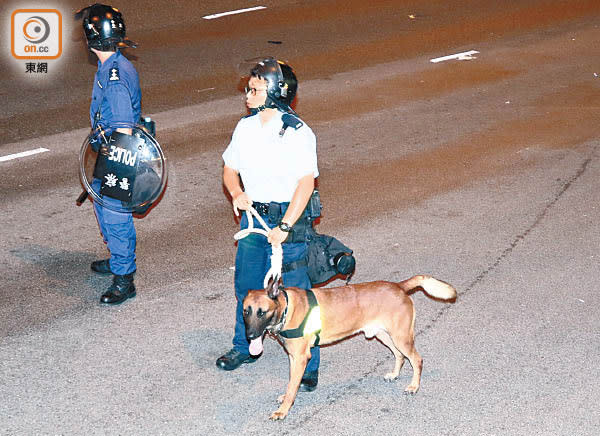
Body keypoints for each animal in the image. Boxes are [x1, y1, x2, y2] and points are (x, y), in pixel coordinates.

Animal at [241, 274, 458, 420]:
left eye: (262, 312)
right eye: (246, 311)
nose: (249, 336)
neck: (286, 308)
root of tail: (398, 286)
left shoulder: (301, 358)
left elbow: (292, 385)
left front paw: (283, 410)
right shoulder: (293, 357)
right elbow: (291, 383)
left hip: (401, 337)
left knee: (417, 359)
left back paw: (414, 386)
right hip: (385, 335)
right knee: (400, 356)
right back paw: (395, 374)